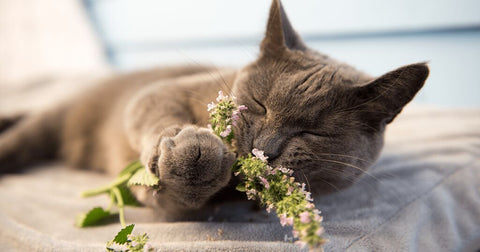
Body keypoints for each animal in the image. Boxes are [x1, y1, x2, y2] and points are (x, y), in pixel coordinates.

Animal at [0, 0, 430, 219]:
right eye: (258, 104)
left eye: (314, 132)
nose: (264, 149)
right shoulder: (159, 91)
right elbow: (155, 116)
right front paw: (190, 149)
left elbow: (171, 198)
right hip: (56, 118)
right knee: (24, 133)